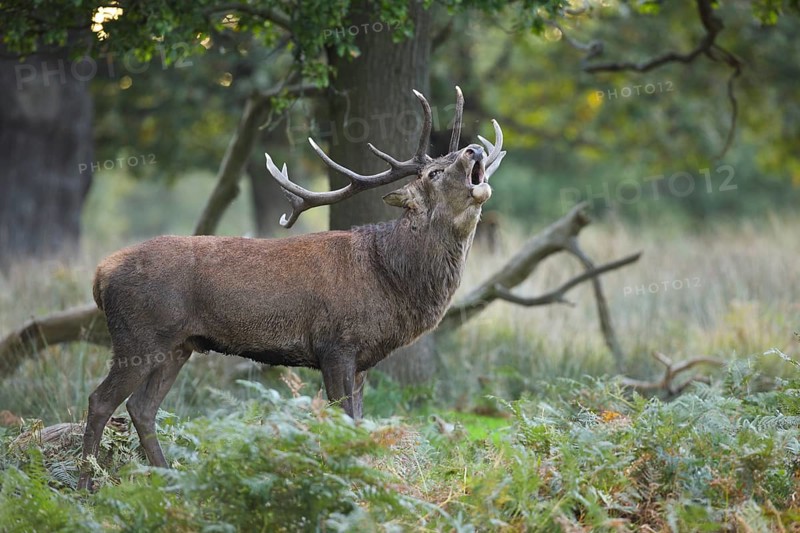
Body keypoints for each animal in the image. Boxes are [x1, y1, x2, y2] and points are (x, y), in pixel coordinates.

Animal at [77, 87, 504, 490]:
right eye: (433, 173)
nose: (474, 149)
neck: (390, 278)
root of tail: (100, 274)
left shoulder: (363, 360)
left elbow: (360, 423)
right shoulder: (335, 345)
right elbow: (342, 420)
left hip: (178, 345)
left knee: (142, 407)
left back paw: (170, 479)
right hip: (139, 336)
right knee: (101, 400)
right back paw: (85, 486)